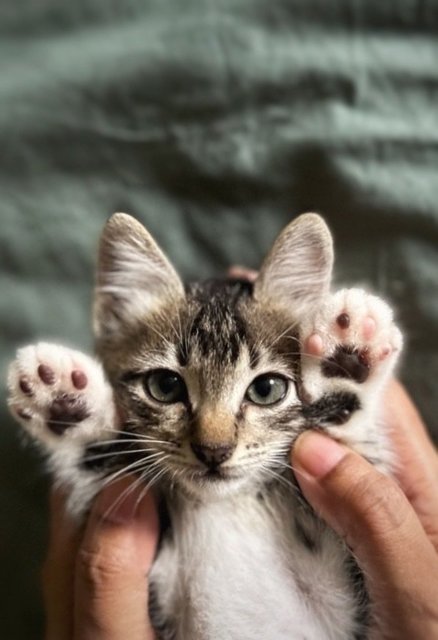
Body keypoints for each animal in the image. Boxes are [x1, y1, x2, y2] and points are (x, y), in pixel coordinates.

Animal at [7, 215, 404, 640]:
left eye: (266, 389)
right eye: (165, 386)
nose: (214, 450)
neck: (228, 504)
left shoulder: (346, 595)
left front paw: (346, 362)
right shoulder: (159, 583)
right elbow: (99, 462)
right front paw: (64, 404)